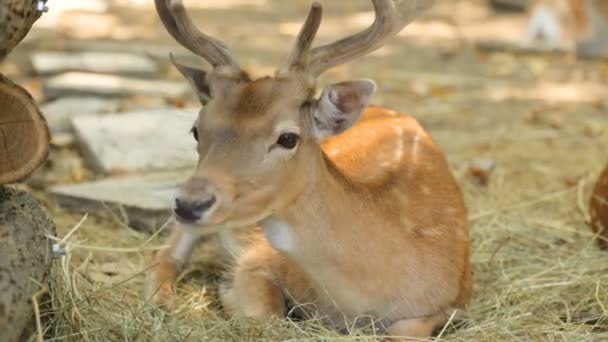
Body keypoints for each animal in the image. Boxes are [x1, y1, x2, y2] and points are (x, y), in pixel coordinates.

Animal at [150, 0, 472, 338]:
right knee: (167, 254)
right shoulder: (256, 258)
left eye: (288, 137)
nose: (189, 203)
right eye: (196, 130)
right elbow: (269, 317)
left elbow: (404, 330)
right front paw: (229, 293)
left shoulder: (455, 300)